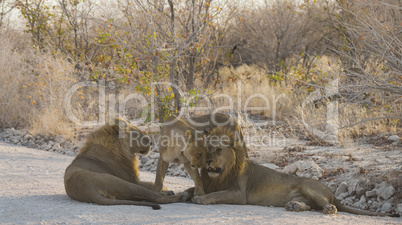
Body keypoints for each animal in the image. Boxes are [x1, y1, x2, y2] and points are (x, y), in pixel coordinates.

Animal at [192, 126, 398, 216]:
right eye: (206, 149)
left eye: (218, 150)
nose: (208, 161)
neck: (219, 175)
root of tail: (331, 191)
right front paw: (194, 195)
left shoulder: (238, 194)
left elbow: (217, 195)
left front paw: (201, 199)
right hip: (302, 196)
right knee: (311, 205)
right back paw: (295, 206)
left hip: (309, 187)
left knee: (325, 204)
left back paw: (328, 209)